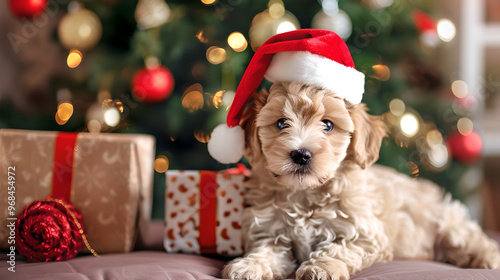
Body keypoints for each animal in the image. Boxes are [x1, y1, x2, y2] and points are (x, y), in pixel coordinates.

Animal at [223, 82, 500, 280]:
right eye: (281, 123)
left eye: (327, 125)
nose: (301, 154)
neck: (305, 193)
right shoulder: (268, 232)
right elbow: (266, 251)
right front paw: (248, 266)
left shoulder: (365, 234)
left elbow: (338, 249)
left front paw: (322, 268)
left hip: (448, 222)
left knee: (474, 239)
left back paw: (488, 259)